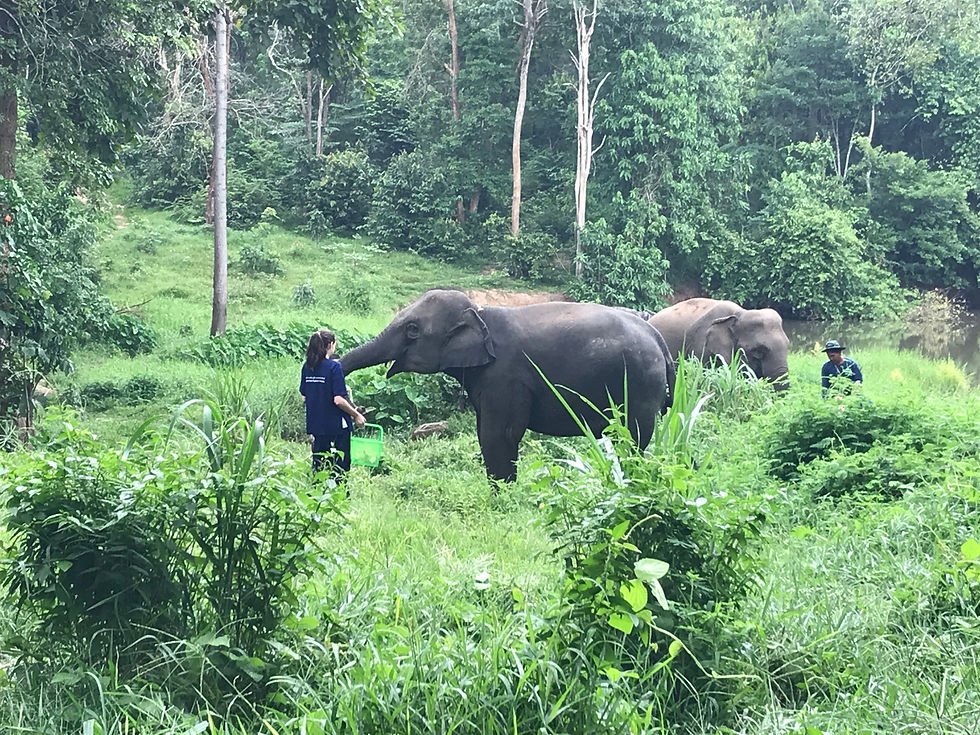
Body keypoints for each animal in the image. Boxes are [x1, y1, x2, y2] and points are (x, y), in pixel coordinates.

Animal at [340, 289, 675, 482]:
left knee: (632, 439)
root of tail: (659, 338)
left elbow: (498, 434)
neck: (481, 311)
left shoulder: (505, 376)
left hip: (640, 386)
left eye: (412, 329)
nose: (359, 408)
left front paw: (501, 494)